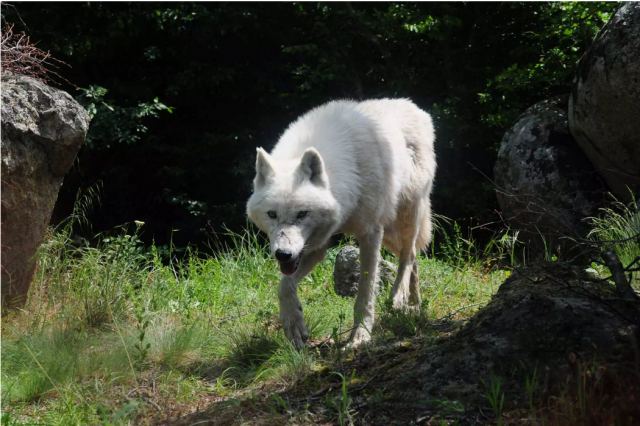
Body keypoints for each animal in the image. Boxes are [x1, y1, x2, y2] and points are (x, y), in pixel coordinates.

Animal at [245, 98, 436, 348]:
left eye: (302, 214)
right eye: (272, 214)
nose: (283, 254)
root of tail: (414, 107)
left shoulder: (370, 233)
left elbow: (365, 293)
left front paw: (360, 336)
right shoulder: (316, 247)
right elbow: (284, 285)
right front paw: (293, 323)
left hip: (404, 217)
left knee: (409, 254)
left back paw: (399, 297)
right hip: (390, 233)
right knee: (415, 256)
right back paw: (414, 305)